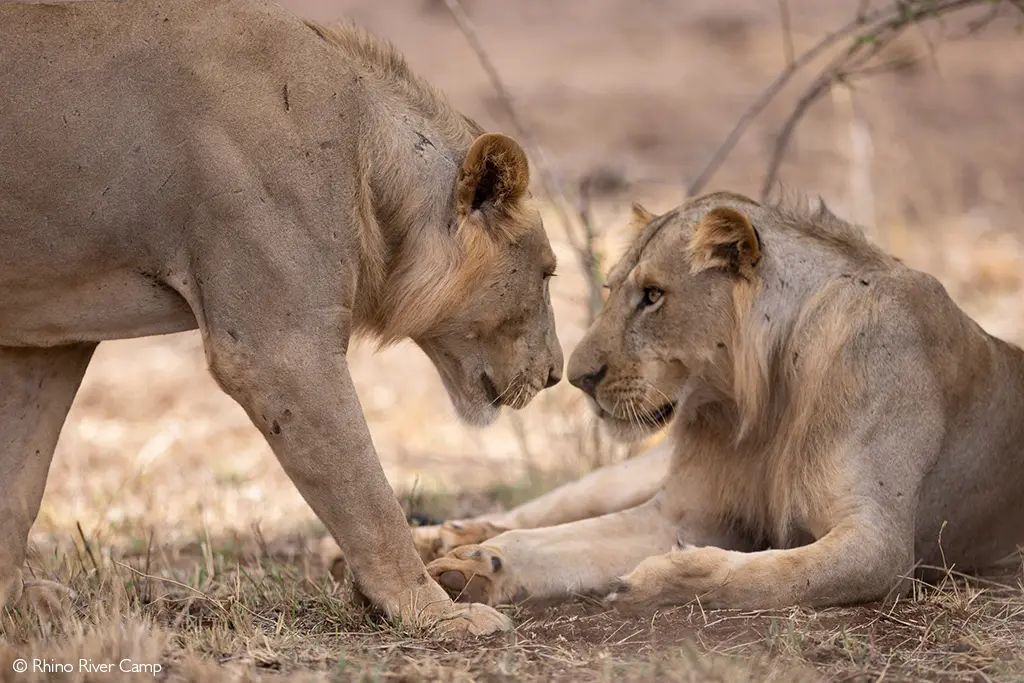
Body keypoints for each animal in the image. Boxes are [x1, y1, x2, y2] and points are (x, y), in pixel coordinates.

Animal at [0, 0, 564, 637]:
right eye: (548, 274)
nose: (555, 374)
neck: (367, 157)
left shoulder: (49, 337)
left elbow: (17, 479)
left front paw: (12, 600)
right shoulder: (277, 349)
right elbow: (368, 495)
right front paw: (434, 612)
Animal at [422, 190, 1024, 613]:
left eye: (654, 296)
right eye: (613, 290)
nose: (576, 378)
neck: (763, 400)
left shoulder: (881, 543)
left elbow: (771, 573)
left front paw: (662, 580)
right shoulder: (681, 512)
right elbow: (554, 539)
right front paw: (475, 568)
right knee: (552, 503)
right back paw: (448, 537)